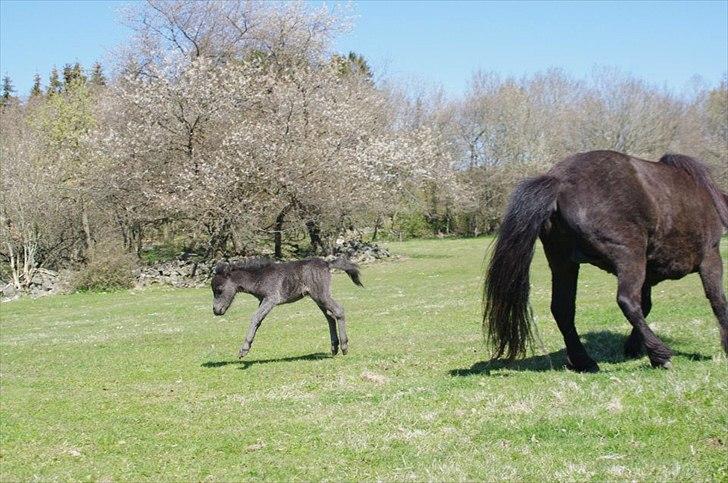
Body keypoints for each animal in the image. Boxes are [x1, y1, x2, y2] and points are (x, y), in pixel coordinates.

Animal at [209, 258, 362, 360]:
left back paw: (344, 346)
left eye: (219, 290)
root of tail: (326, 264)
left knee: (338, 311)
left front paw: (244, 350)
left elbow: (255, 318)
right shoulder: (262, 300)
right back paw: (334, 347)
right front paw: (247, 347)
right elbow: (258, 321)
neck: (259, 277)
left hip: (321, 295)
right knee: (330, 317)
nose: (216, 310)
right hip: (318, 297)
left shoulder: (271, 299)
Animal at [484, 149, 728, 372]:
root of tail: (559, 182)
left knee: (562, 309)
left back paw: (584, 361)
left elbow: (647, 304)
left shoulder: (648, 272)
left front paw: (632, 346)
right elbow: (718, 301)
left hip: (564, 263)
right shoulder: (711, 256)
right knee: (626, 301)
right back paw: (660, 355)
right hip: (629, 256)